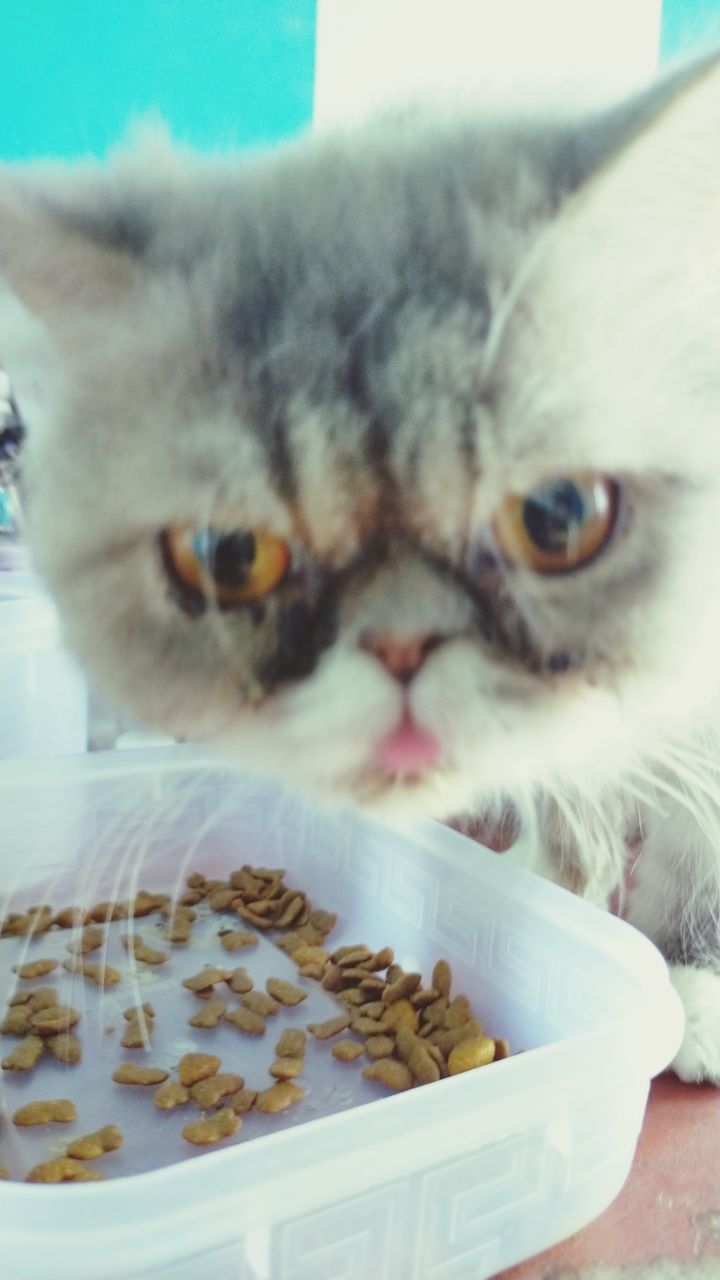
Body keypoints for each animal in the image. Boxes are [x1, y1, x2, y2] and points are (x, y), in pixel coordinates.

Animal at [1, 52, 717, 1080]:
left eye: (558, 517)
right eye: (229, 555)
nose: (402, 645)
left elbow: (693, 857)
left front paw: (684, 981)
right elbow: (571, 824)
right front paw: (556, 899)